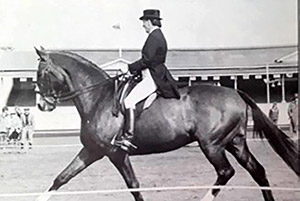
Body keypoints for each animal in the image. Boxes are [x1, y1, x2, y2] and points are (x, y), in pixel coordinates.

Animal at [33, 47, 298, 201]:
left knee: (226, 172)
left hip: (212, 145)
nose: (42, 105)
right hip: (235, 142)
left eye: (41, 74)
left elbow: (133, 185)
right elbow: (61, 178)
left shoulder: (115, 152)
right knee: (258, 171)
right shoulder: (92, 150)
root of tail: (235, 93)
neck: (98, 98)